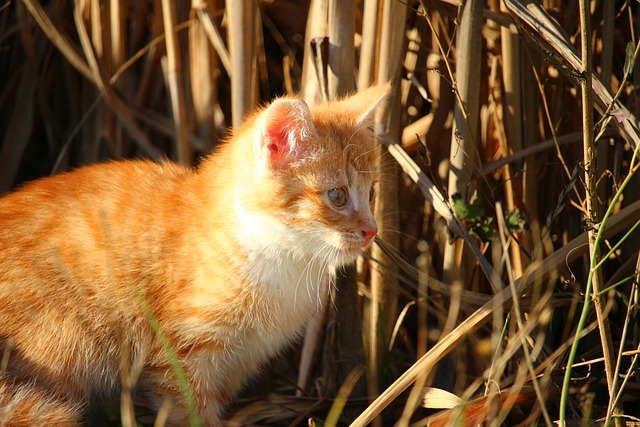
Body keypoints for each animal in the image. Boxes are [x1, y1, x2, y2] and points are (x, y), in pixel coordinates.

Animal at [0, 86, 388, 424]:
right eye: (337, 196)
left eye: (371, 193)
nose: (372, 231)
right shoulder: (181, 356)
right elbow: (191, 412)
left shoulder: (239, 362)